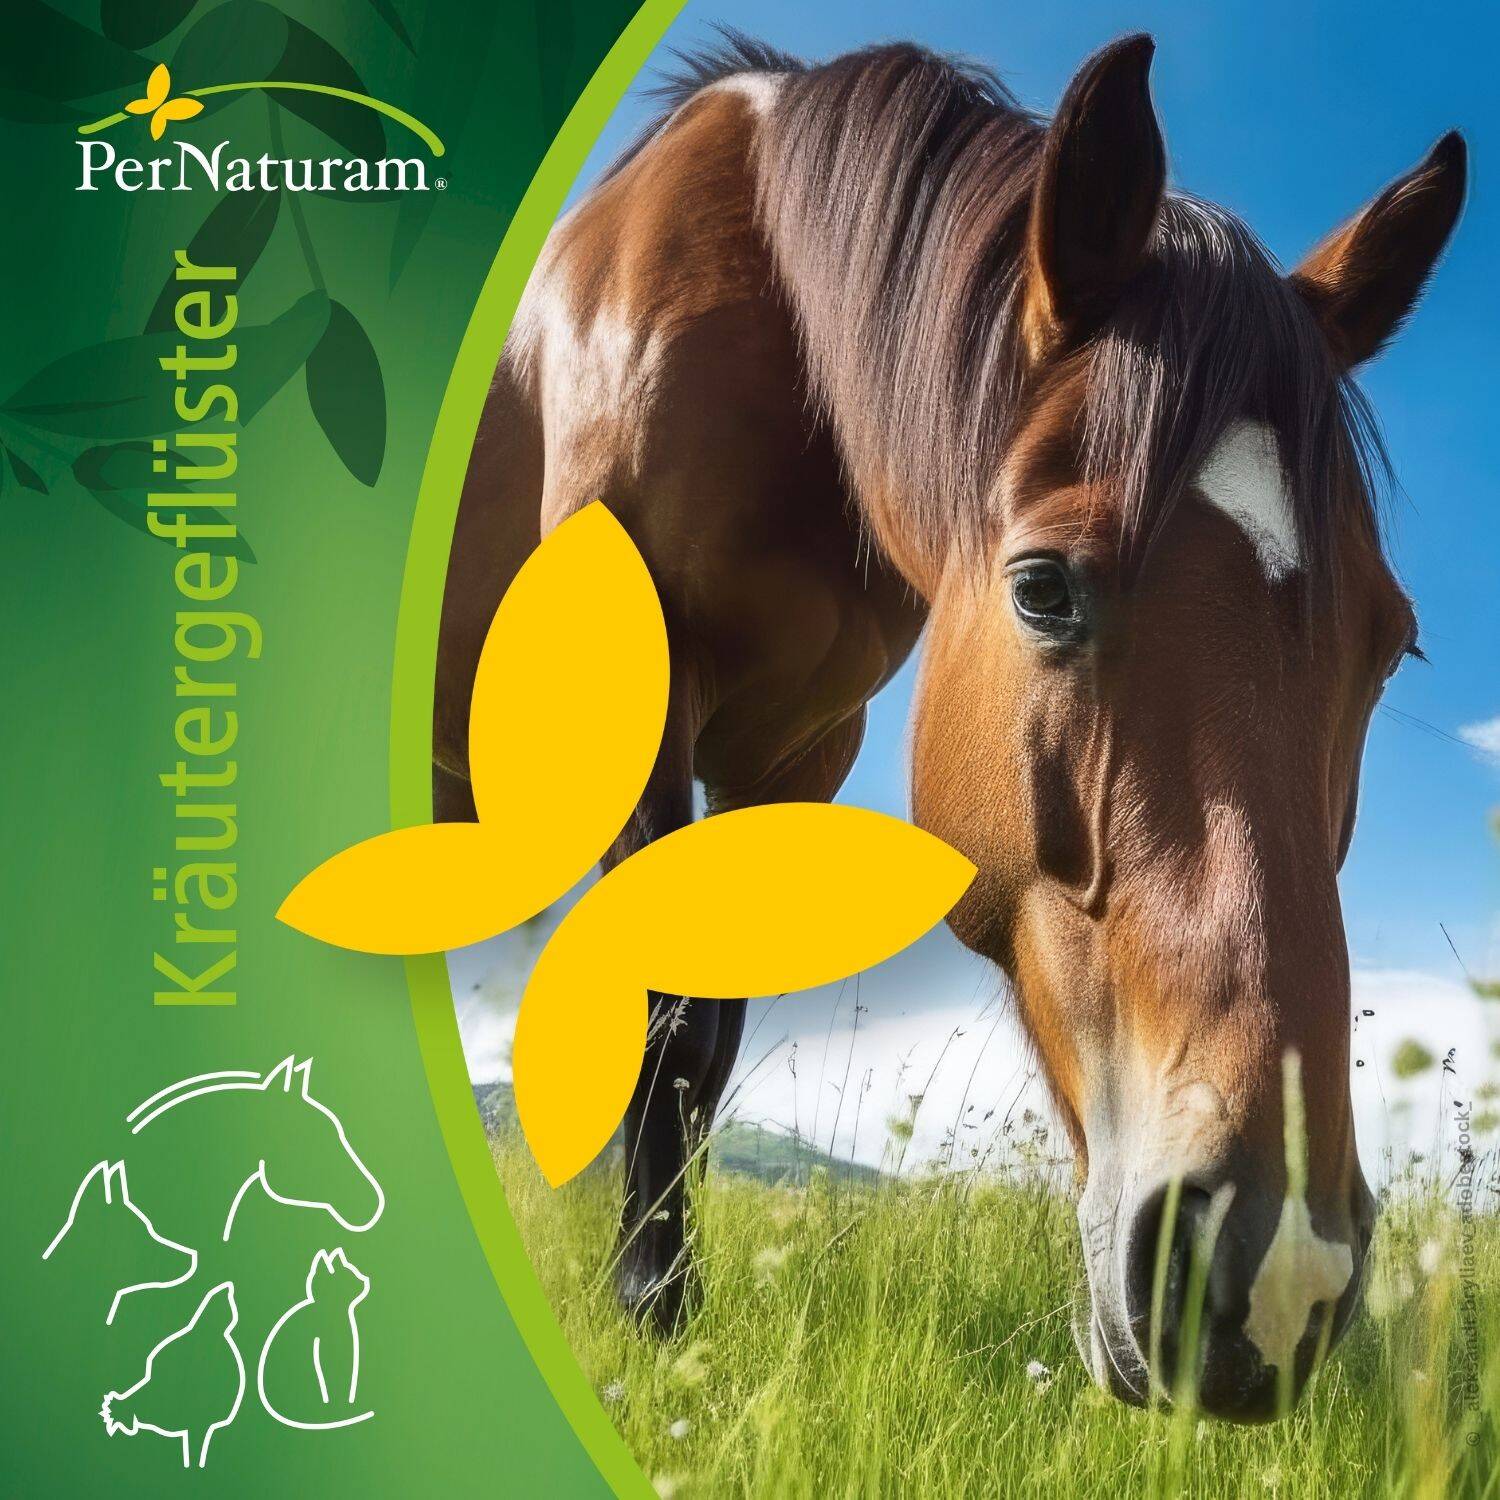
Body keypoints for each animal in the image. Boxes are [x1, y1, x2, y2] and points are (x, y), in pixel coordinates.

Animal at [433, 31, 1465, 1418]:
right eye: (1042, 588)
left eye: (1392, 641)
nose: (1274, 1264)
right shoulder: (642, 714)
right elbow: (661, 1018)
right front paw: (652, 1305)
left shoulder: (793, 753)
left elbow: (710, 1030)